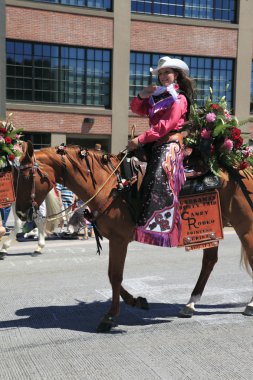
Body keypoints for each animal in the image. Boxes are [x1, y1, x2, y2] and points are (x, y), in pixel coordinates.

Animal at [15, 141, 253, 332]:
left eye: (27, 176)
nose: (20, 213)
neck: (110, 185)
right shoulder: (115, 240)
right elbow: (112, 276)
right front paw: (137, 301)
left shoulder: (120, 240)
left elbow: (115, 276)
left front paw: (110, 316)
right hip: (213, 227)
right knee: (209, 261)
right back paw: (190, 304)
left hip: (245, 226)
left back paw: (249, 305)